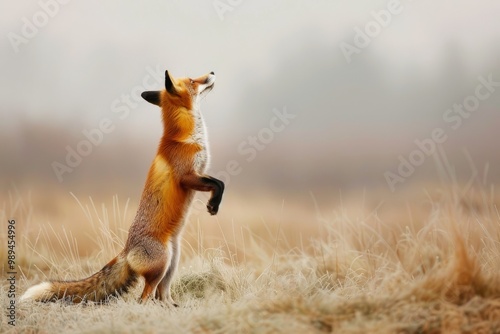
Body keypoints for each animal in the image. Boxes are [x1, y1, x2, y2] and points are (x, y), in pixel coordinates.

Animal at [21, 70, 225, 306]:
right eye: (193, 80)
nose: (212, 72)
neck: (185, 136)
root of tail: (126, 251)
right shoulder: (187, 176)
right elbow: (219, 183)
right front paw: (213, 205)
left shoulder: (200, 171)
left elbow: (218, 182)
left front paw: (213, 204)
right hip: (162, 265)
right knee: (144, 297)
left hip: (172, 263)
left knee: (161, 295)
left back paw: (172, 307)